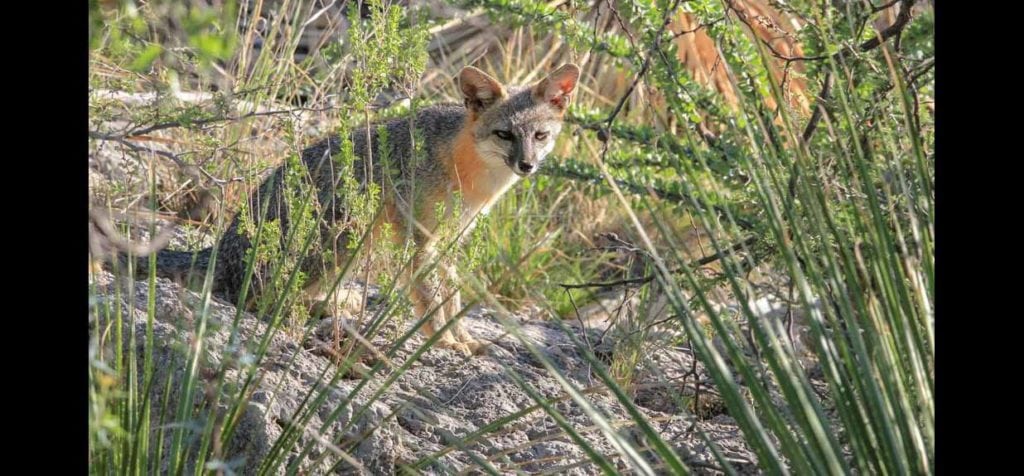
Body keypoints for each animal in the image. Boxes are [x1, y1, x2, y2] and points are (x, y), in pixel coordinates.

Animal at [140, 62, 581, 354]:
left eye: (540, 136)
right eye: (505, 135)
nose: (527, 165)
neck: (469, 176)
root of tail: (218, 248)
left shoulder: (451, 239)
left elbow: (452, 297)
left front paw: (464, 338)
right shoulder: (418, 237)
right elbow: (430, 299)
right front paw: (444, 341)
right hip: (344, 233)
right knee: (257, 299)